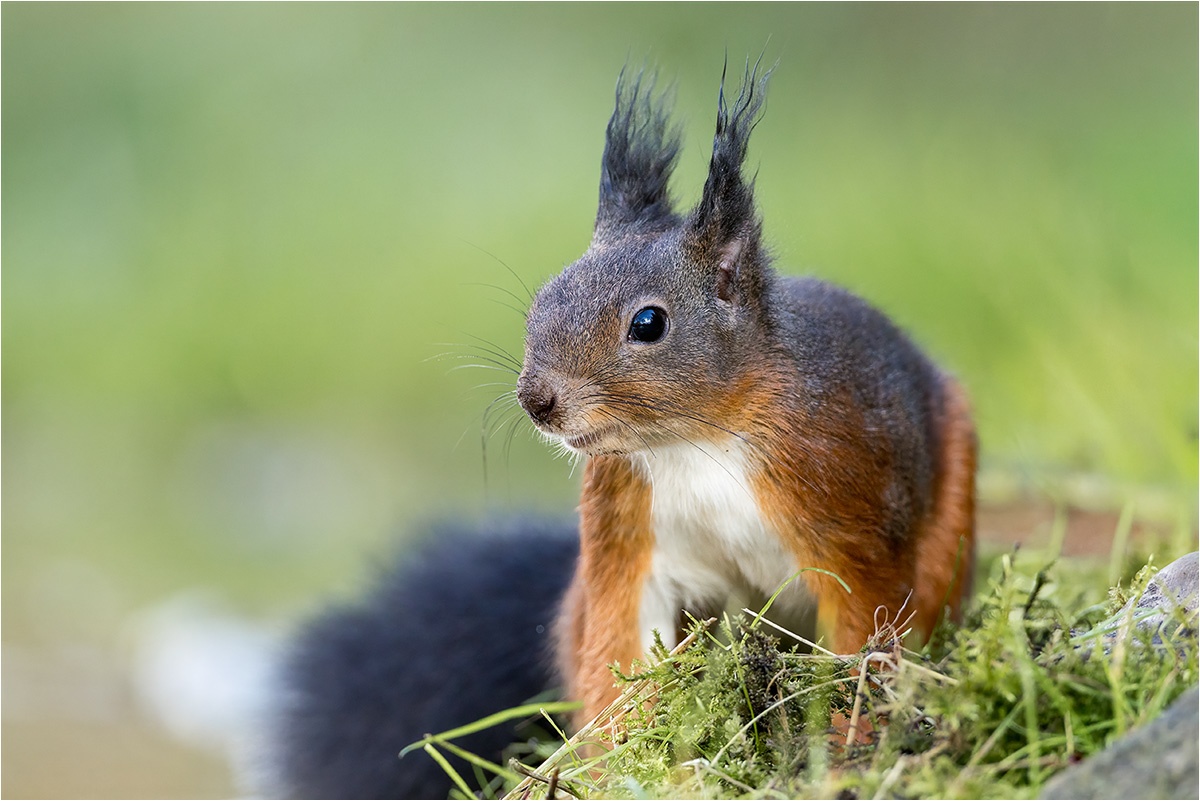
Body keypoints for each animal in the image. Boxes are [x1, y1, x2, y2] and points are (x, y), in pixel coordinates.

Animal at [514, 62, 976, 729]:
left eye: (648, 323)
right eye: (544, 298)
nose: (537, 400)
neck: (696, 439)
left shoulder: (849, 504)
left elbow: (866, 631)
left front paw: (851, 734)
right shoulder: (625, 534)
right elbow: (620, 646)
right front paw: (613, 747)